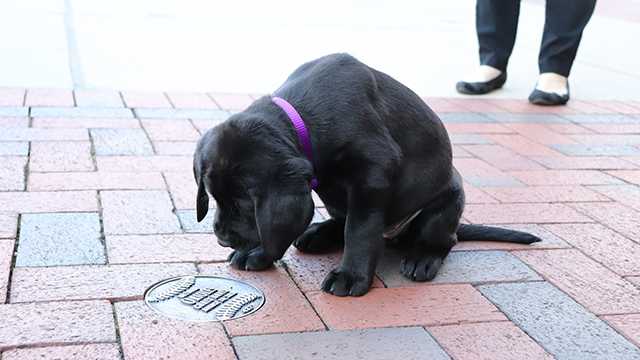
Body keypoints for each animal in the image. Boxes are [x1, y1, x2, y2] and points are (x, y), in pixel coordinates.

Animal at [194, 52, 540, 296]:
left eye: (244, 204)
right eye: (213, 197)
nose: (222, 237)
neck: (302, 118)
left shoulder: (372, 174)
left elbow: (359, 229)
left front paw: (351, 276)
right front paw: (259, 252)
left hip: (447, 202)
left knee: (444, 238)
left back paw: (423, 257)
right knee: (339, 219)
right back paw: (318, 233)